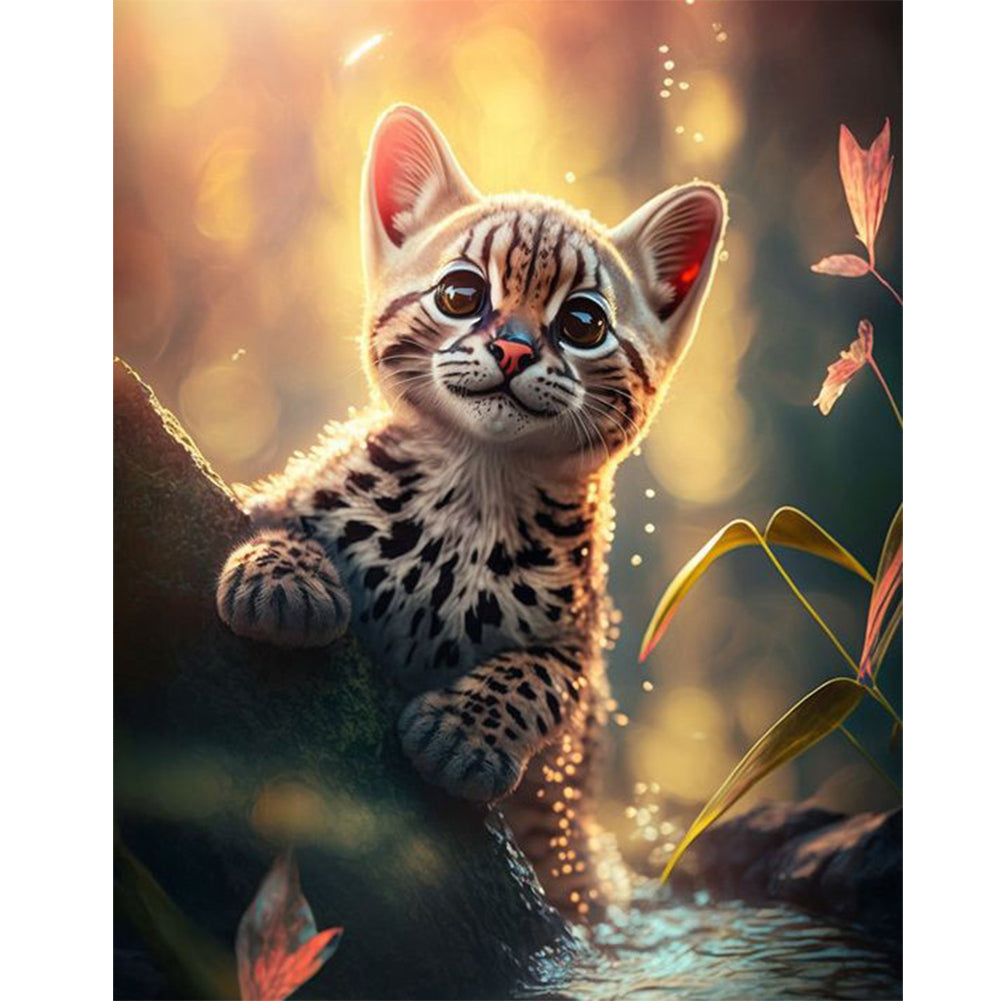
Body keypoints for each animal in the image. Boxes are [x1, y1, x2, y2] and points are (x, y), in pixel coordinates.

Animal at [216, 104, 727, 919]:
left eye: (583, 323)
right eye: (461, 293)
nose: (513, 350)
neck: (475, 489)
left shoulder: (580, 653)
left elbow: (542, 675)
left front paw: (465, 733)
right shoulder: (276, 491)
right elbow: (278, 511)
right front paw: (283, 580)